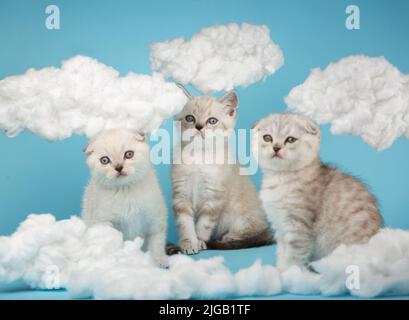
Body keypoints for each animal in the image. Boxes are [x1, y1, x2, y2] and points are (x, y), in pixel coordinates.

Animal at [81, 128, 167, 268]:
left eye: (129, 154)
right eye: (104, 160)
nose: (118, 167)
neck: (126, 191)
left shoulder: (155, 217)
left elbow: (156, 242)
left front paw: (159, 260)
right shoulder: (104, 221)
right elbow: (113, 242)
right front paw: (122, 261)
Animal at [171, 85, 272, 255]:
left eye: (212, 121)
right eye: (190, 118)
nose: (199, 127)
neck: (199, 157)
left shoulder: (214, 197)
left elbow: (203, 224)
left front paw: (199, 241)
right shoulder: (181, 194)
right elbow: (185, 223)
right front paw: (188, 243)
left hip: (241, 217)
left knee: (257, 232)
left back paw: (230, 237)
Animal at [253, 113, 380, 270]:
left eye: (290, 139)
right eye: (267, 138)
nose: (276, 147)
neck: (280, 178)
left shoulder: (298, 227)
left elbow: (293, 256)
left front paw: (290, 272)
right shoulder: (280, 227)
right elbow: (282, 253)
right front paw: (279, 270)